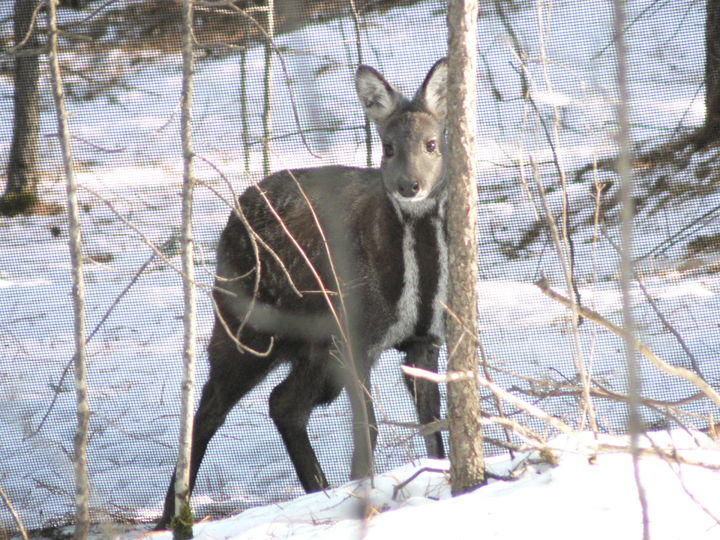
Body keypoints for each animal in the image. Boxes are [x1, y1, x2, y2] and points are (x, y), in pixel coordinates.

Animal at [160, 58, 448, 528]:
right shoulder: (354, 336)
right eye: (387, 146)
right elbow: (367, 427)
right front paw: (362, 494)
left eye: (431, 143)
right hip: (245, 323)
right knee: (210, 406)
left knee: (284, 403)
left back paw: (318, 490)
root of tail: (234, 213)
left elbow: (434, 423)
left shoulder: (426, 340)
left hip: (312, 345)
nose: (409, 186)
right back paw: (171, 516)